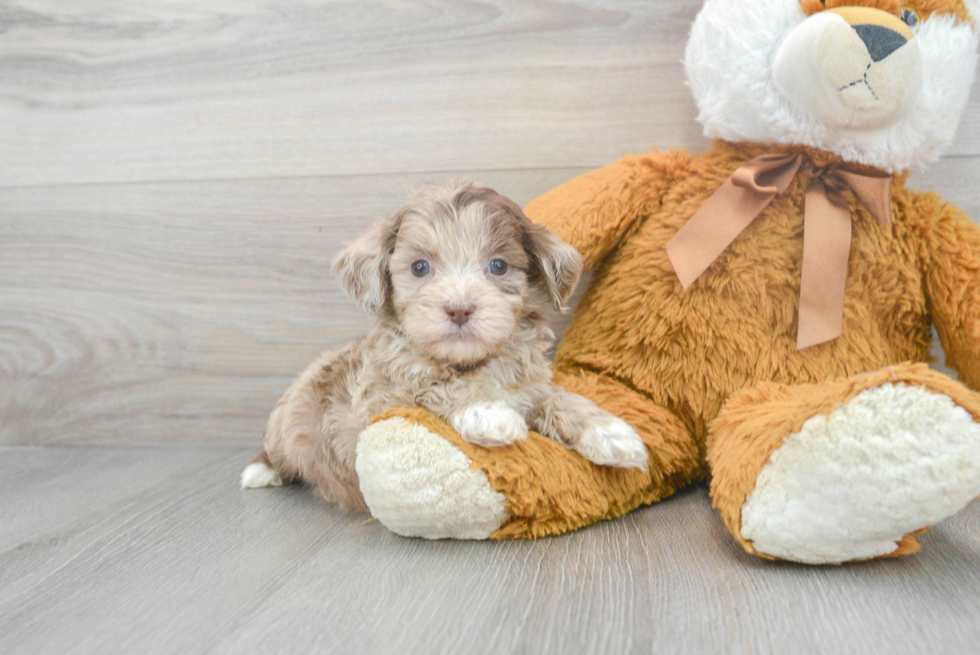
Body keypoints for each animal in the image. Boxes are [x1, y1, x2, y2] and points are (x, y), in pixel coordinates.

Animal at [241, 181, 648, 512]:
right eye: (420, 268)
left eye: (498, 266)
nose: (459, 308)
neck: (468, 362)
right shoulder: (379, 402)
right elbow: (436, 385)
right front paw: (486, 409)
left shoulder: (529, 385)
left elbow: (558, 398)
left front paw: (608, 431)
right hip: (286, 423)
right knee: (276, 451)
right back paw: (262, 471)